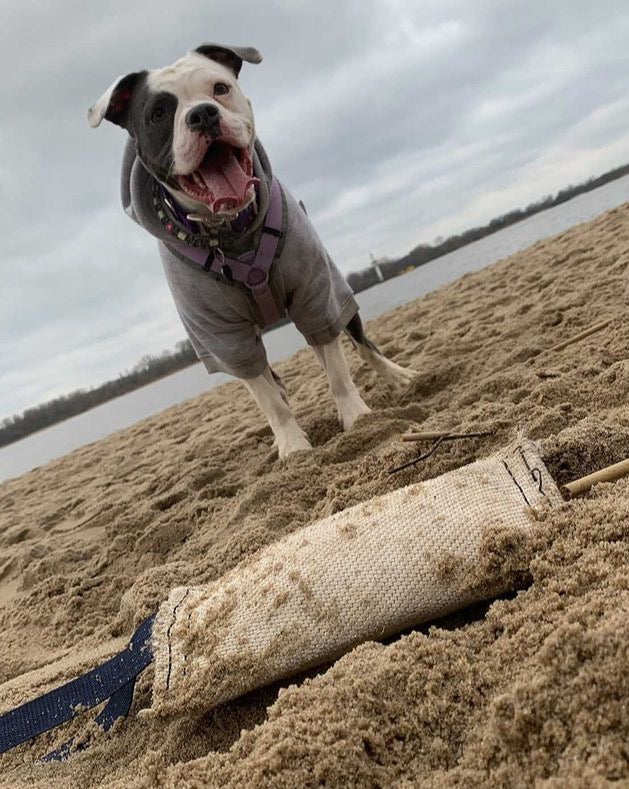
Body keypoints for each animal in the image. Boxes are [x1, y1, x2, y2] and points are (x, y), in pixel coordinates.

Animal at [87, 44, 412, 456]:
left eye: (220, 88)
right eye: (158, 113)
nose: (202, 114)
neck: (228, 231)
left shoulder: (314, 295)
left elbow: (338, 368)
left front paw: (358, 418)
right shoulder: (224, 337)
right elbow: (269, 397)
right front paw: (292, 446)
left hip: (337, 293)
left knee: (356, 342)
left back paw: (398, 377)